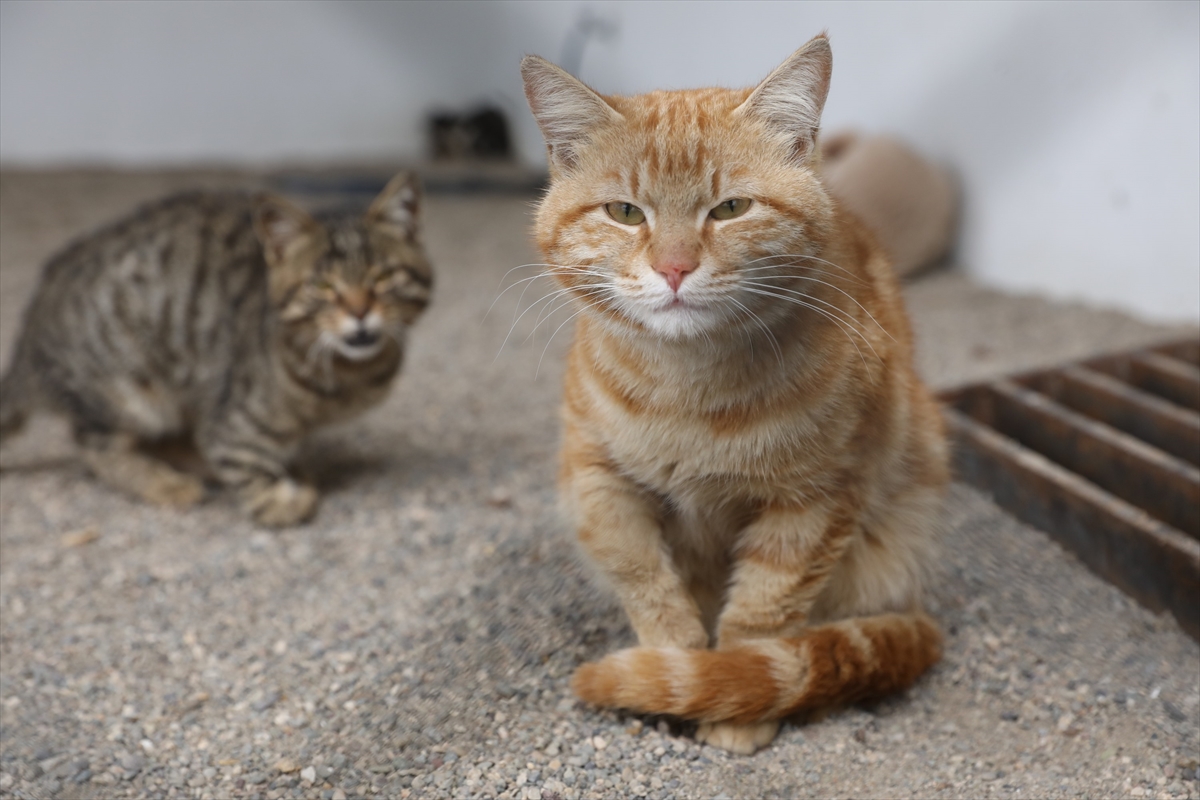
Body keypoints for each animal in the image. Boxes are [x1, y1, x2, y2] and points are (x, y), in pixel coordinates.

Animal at [520, 32, 950, 758]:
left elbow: (762, 613)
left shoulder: (815, 501)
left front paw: (732, 692)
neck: (687, 391)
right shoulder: (597, 482)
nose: (673, 268)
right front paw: (673, 663)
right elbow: (647, 583)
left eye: (729, 209)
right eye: (624, 212)